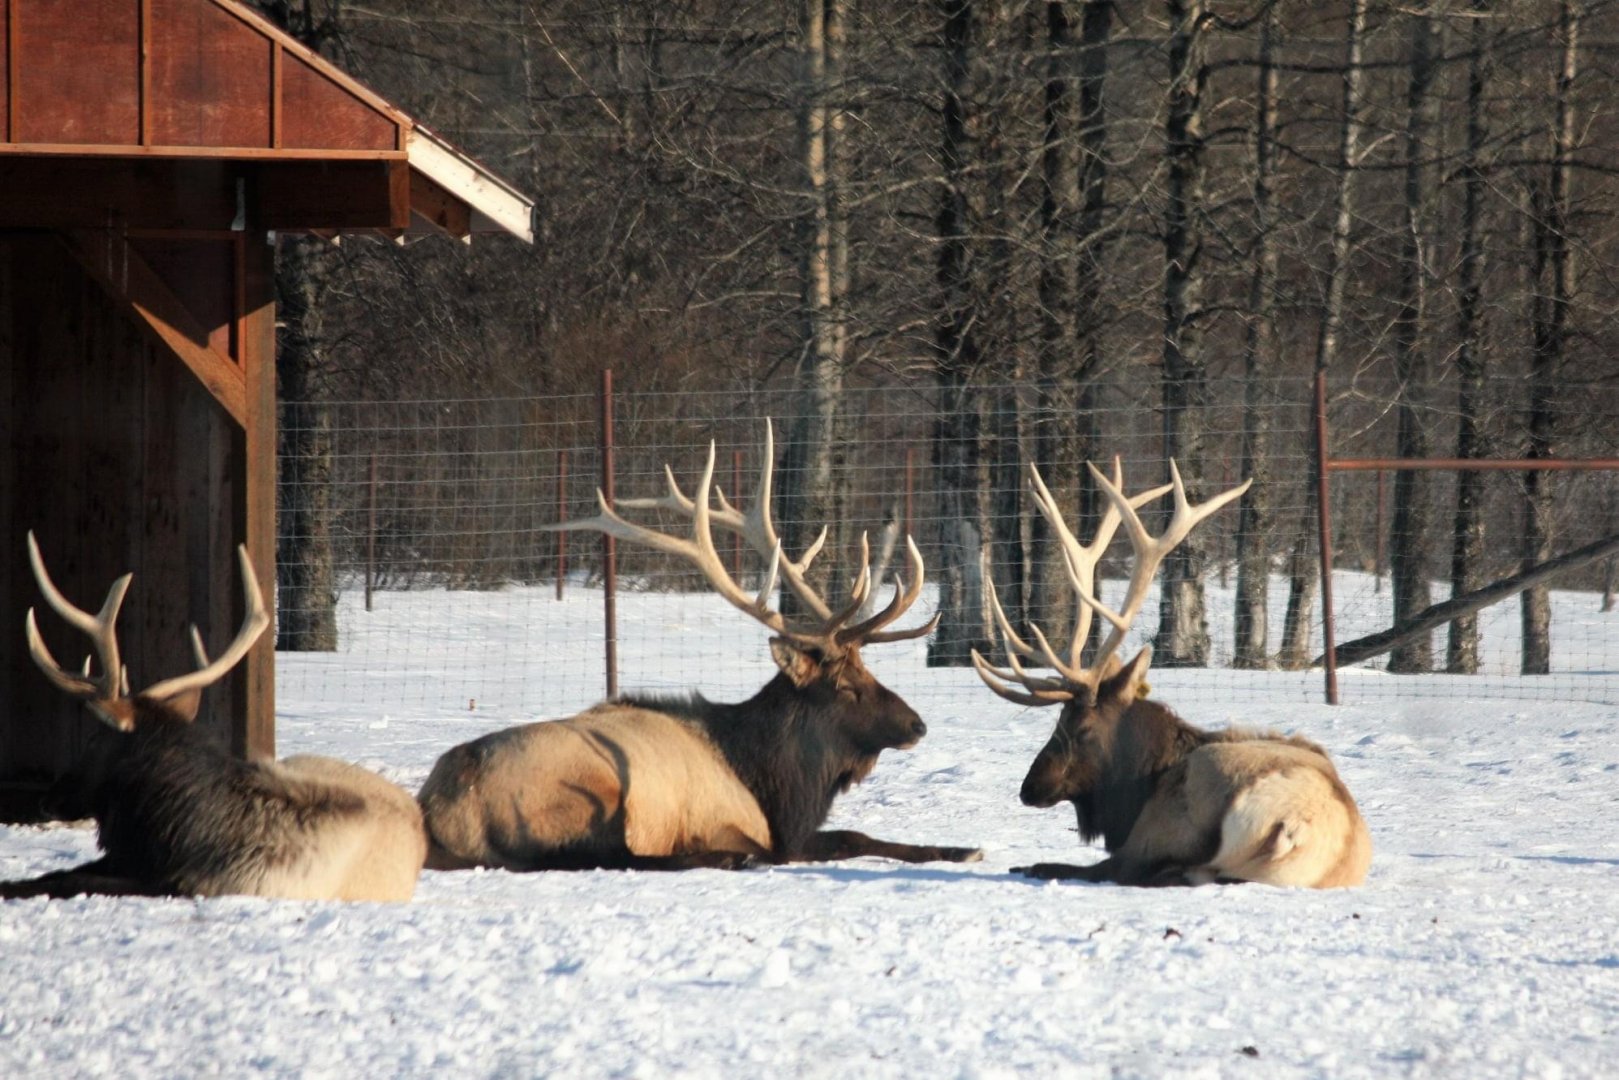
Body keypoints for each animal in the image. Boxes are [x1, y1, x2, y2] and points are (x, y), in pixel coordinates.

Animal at [1, 533, 428, 902]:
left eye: (93, 740)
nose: (49, 798)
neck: (173, 834)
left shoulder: (187, 884)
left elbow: (67, 881)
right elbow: (55, 874)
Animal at [417, 421, 983, 872]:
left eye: (869, 671)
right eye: (846, 684)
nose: (918, 724)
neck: (773, 782)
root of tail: (443, 806)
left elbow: (860, 835)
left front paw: (964, 849)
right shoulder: (754, 827)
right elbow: (846, 837)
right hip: (585, 795)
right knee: (603, 856)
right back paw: (731, 858)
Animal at [972, 460, 1371, 888]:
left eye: (1081, 727)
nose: (1029, 787)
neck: (1138, 788)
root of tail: (1293, 827)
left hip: (1176, 812)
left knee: (1115, 869)